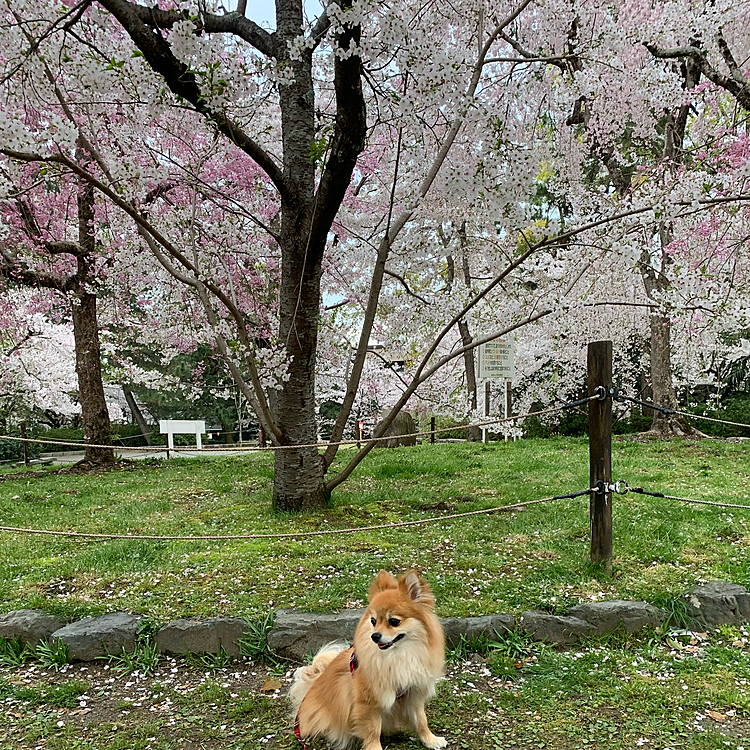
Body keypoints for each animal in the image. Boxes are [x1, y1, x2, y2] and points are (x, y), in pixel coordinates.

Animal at [290, 568, 446, 750]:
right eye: (373, 621)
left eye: (394, 621)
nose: (374, 636)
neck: (399, 655)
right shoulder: (368, 702)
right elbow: (373, 730)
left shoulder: (413, 694)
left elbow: (421, 720)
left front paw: (430, 739)